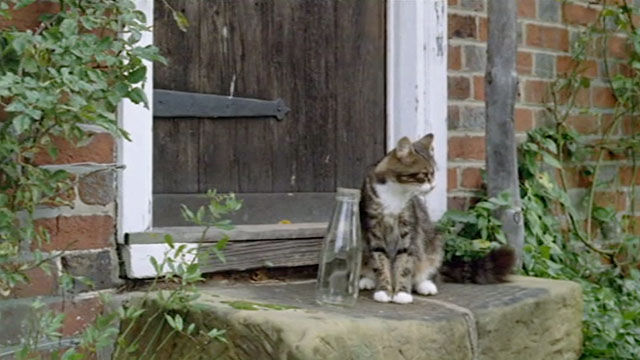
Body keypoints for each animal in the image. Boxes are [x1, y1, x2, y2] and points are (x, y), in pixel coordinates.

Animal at [360, 133, 516, 304]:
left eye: (434, 173)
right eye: (424, 175)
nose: (433, 186)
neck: (395, 193)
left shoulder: (408, 230)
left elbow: (405, 263)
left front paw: (402, 293)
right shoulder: (374, 230)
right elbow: (380, 262)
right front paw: (383, 290)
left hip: (434, 242)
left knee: (426, 270)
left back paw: (425, 285)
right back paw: (366, 280)